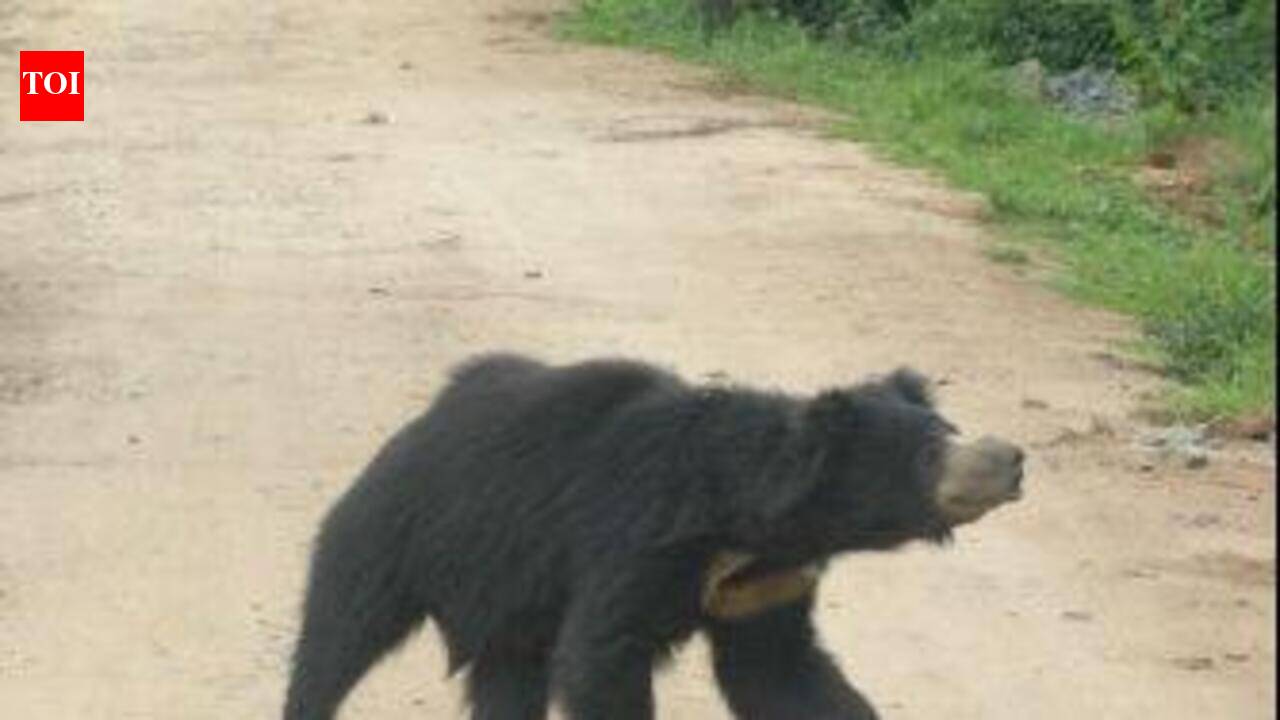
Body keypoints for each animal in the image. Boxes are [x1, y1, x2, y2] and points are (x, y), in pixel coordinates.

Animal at [284, 353, 1025, 720]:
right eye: (927, 454)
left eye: (949, 429)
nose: (1012, 459)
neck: (754, 523)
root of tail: (415, 427)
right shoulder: (635, 539)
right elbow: (601, 655)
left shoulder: (763, 585)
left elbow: (782, 672)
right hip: (392, 538)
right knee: (336, 640)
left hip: (511, 610)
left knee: (507, 684)